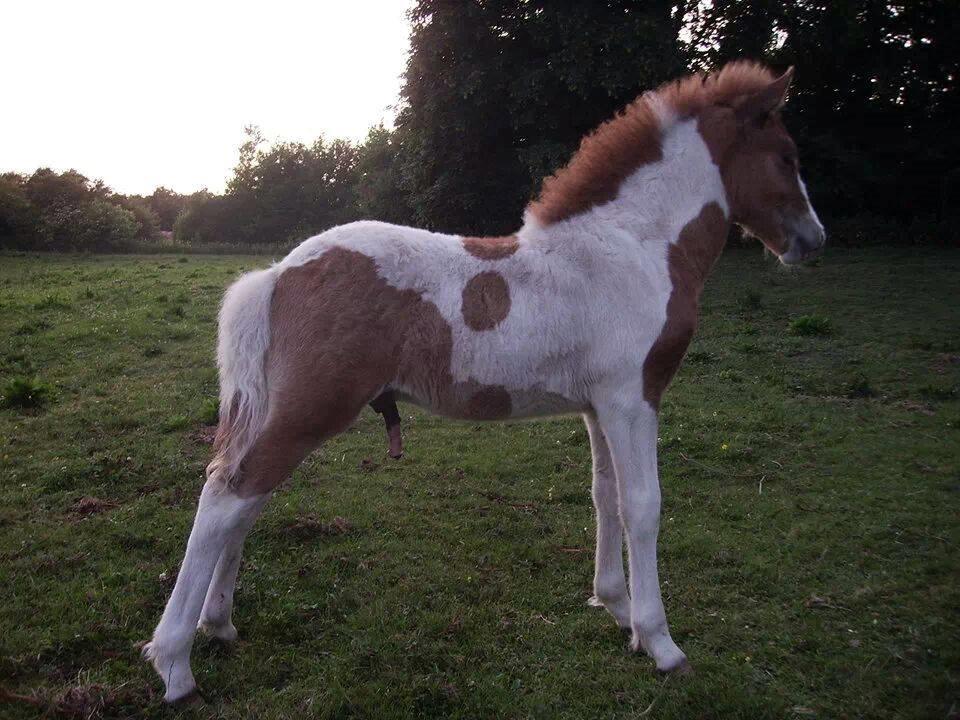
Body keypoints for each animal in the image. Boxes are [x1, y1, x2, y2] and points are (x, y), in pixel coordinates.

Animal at [144, 62, 824, 704]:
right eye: (787, 156)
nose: (813, 240)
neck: (634, 248)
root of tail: (279, 271)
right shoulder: (634, 399)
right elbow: (643, 507)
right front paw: (659, 642)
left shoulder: (599, 405)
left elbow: (604, 496)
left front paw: (615, 607)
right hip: (311, 409)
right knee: (225, 497)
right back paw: (175, 665)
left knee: (245, 501)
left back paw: (220, 626)